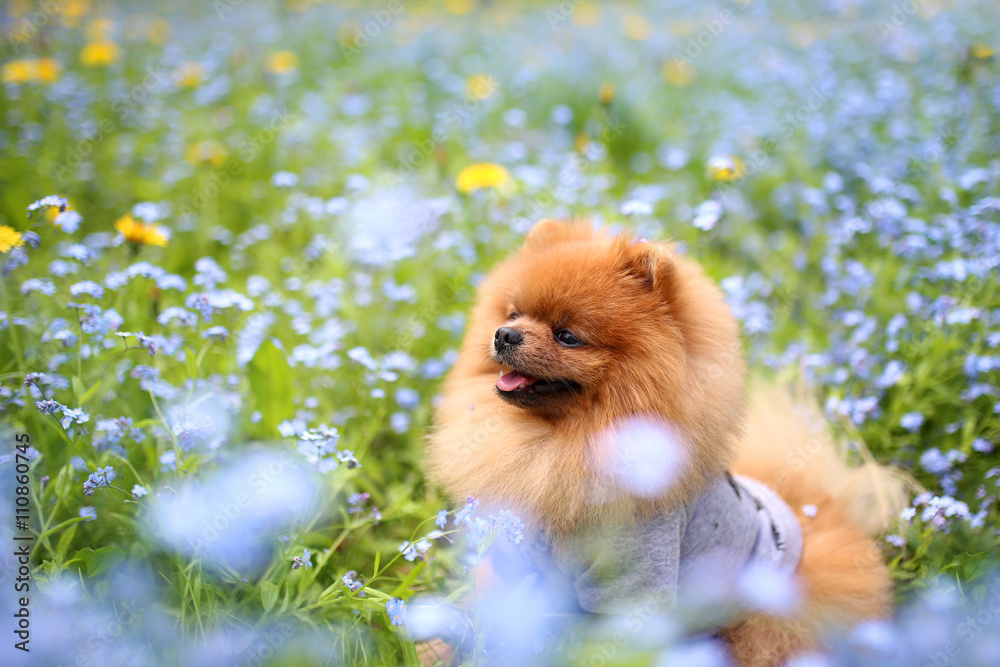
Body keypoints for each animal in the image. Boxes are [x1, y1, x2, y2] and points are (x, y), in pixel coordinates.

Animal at [426, 220, 904, 667]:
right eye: (512, 314)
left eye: (567, 336)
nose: (505, 334)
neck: (563, 439)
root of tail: (821, 508)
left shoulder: (635, 582)